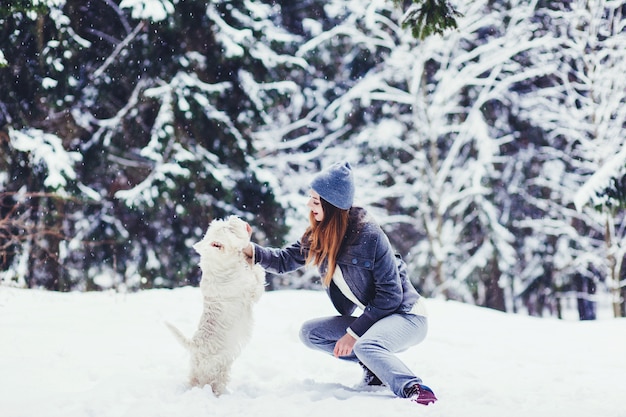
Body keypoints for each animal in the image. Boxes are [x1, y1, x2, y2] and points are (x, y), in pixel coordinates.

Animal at [166, 216, 264, 394]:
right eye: (229, 229)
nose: (236, 217)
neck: (221, 263)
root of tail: (195, 346)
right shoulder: (251, 290)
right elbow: (258, 277)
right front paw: (255, 262)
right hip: (215, 368)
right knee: (213, 383)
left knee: (195, 380)